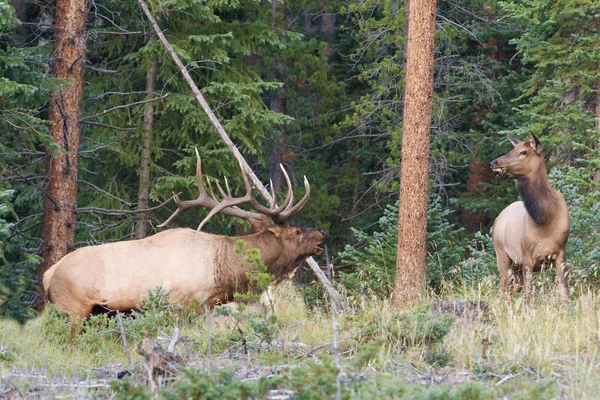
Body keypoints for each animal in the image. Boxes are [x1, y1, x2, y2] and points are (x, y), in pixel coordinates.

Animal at [42, 148, 326, 332]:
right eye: (297, 232)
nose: (321, 233)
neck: (224, 271)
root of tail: (47, 274)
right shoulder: (182, 304)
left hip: (96, 312)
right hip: (73, 309)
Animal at [490, 133, 568, 298]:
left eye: (523, 152)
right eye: (512, 149)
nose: (494, 162)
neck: (545, 219)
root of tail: (496, 221)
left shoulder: (560, 254)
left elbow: (564, 292)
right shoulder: (526, 256)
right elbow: (529, 296)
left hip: (516, 267)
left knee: (511, 292)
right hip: (502, 254)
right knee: (504, 291)